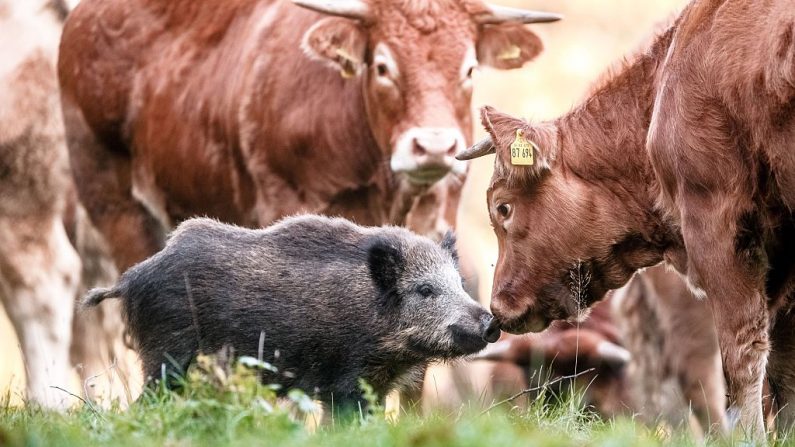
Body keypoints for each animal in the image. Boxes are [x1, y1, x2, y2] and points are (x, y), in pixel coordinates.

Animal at [84, 217, 500, 410]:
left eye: (459, 282)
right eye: (424, 289)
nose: (490, 324)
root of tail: (129, 279)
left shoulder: (374, 386)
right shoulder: (345, 381)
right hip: (166, 354)